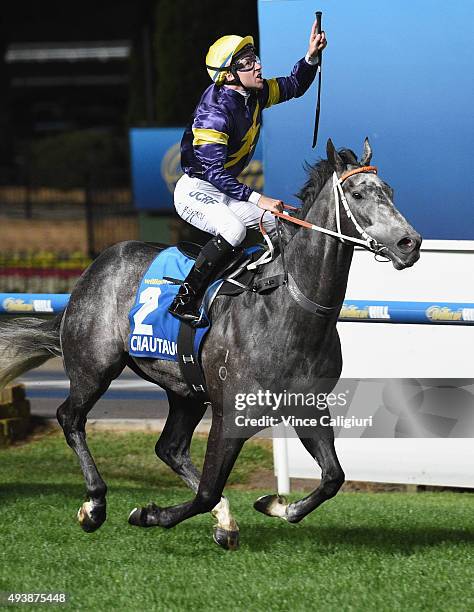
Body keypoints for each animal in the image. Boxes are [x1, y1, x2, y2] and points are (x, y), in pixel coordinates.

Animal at [0, 140, 422, 548]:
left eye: (389, 191)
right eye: (357, 193)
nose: (410, 243)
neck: (287, 307)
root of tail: (93, 270)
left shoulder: (308, 408)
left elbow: (333, 477)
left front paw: (276, 506)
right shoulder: (231, 414)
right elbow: (206, 490)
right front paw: (149, 514)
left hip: (185, 389)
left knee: (169, 447)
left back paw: (223, 519)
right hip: (95, 366)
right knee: (70, 417)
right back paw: (95, 504)